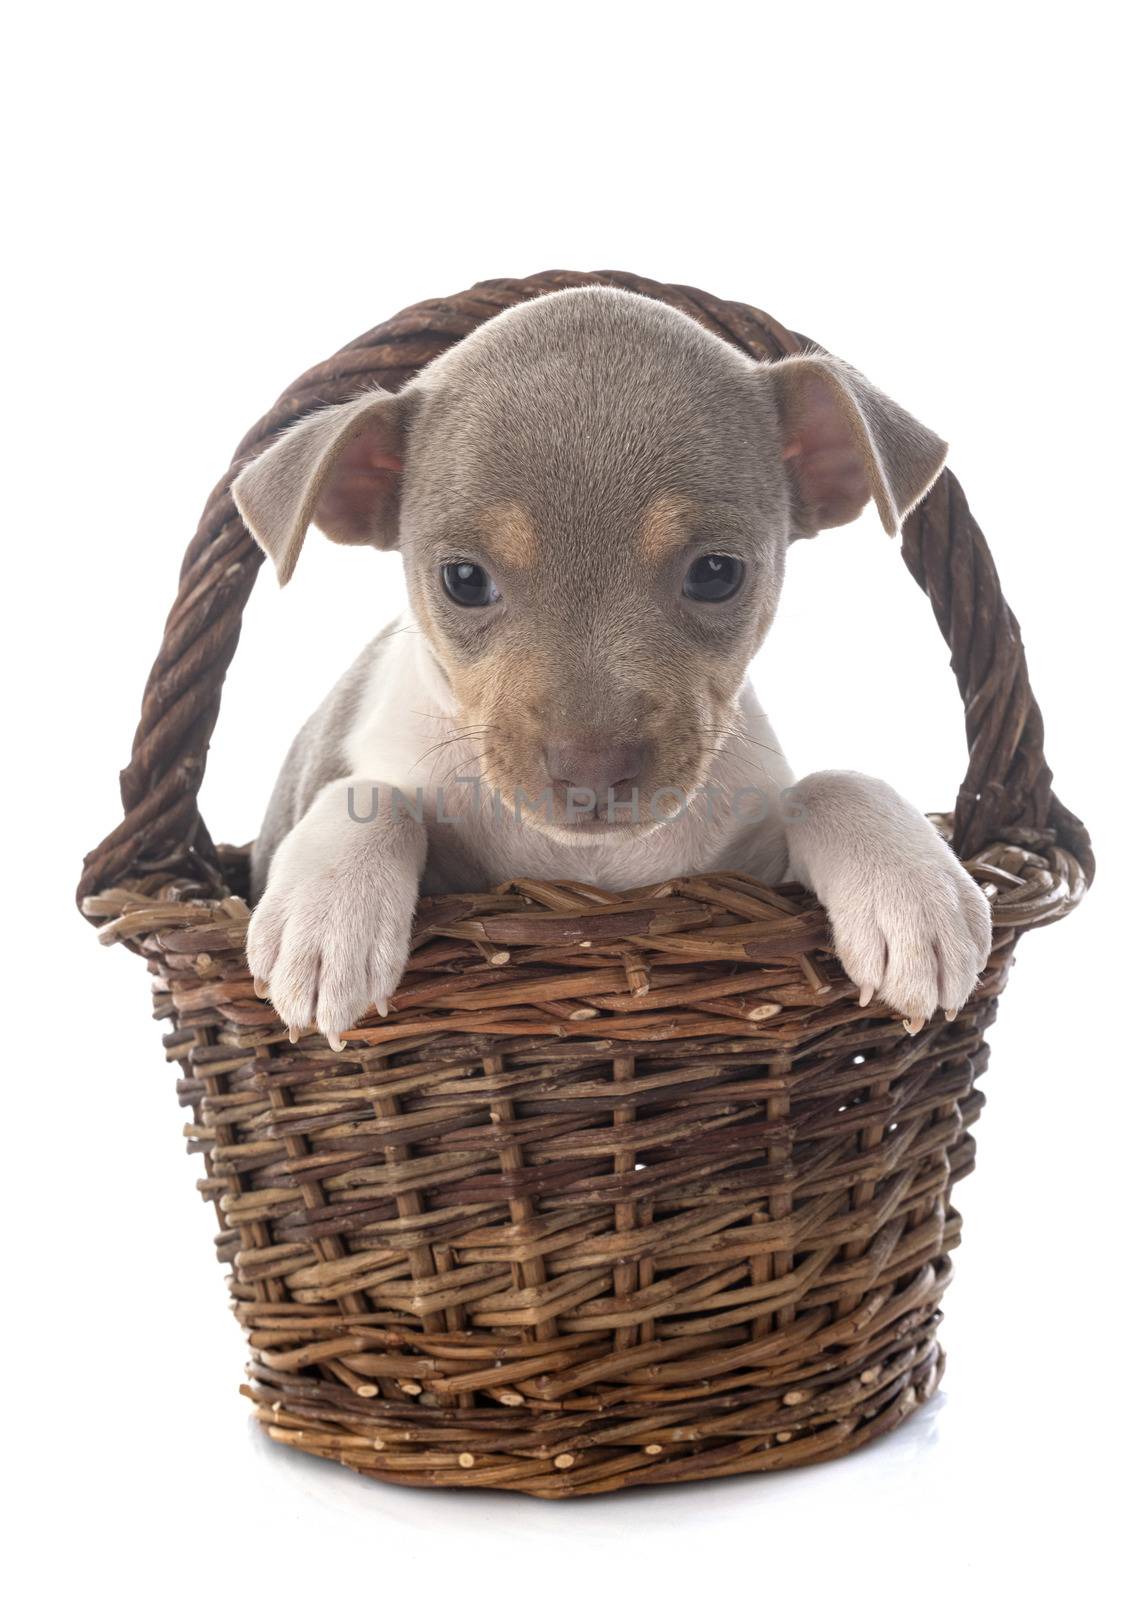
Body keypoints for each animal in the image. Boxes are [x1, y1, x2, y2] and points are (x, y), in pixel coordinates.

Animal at [231, 291, 991, 1049]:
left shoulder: (747, 878)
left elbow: (835, 784)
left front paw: (914, 892)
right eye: (464, 580)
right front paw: (328, 915)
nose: (592, 773)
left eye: (717, 573)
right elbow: (376, 797)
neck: (585, 864)